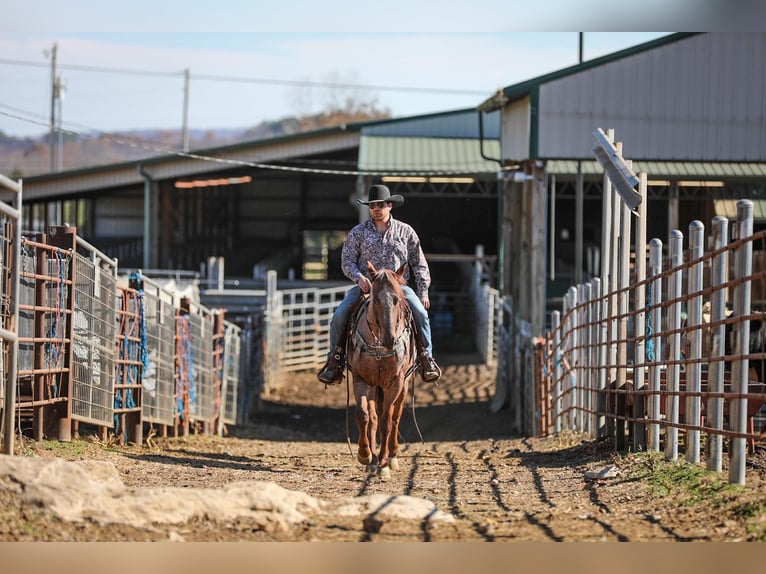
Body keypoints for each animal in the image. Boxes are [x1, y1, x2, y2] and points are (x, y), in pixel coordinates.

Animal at [350, 264, 420, 480]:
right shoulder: (360, 379)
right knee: (373, 417)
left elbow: (386, 422)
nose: (390, 339)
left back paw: (392, 457)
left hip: (404, 385)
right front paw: (365, 455)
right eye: (376, 299)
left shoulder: (394, 383)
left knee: (395, 417)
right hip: (375, 386)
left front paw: (383, 465)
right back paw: (372, 460)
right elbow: (364, 415)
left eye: (397, 299)